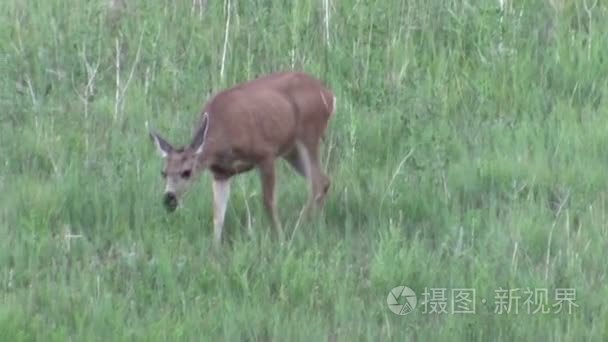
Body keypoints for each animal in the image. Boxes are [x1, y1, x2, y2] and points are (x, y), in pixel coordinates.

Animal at [148, 71, 338, 246]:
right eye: (163, 172)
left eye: (187, 172)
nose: (169, 199)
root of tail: (329, 95)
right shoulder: (221, 173)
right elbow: (218, 213)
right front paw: (215, 249)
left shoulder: (266, 154)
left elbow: (268, 201)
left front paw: (280, 239)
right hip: (291, 151)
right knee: (323, 180)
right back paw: (314, 225)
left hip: (309, 134)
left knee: (316, 183)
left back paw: (300, 227)